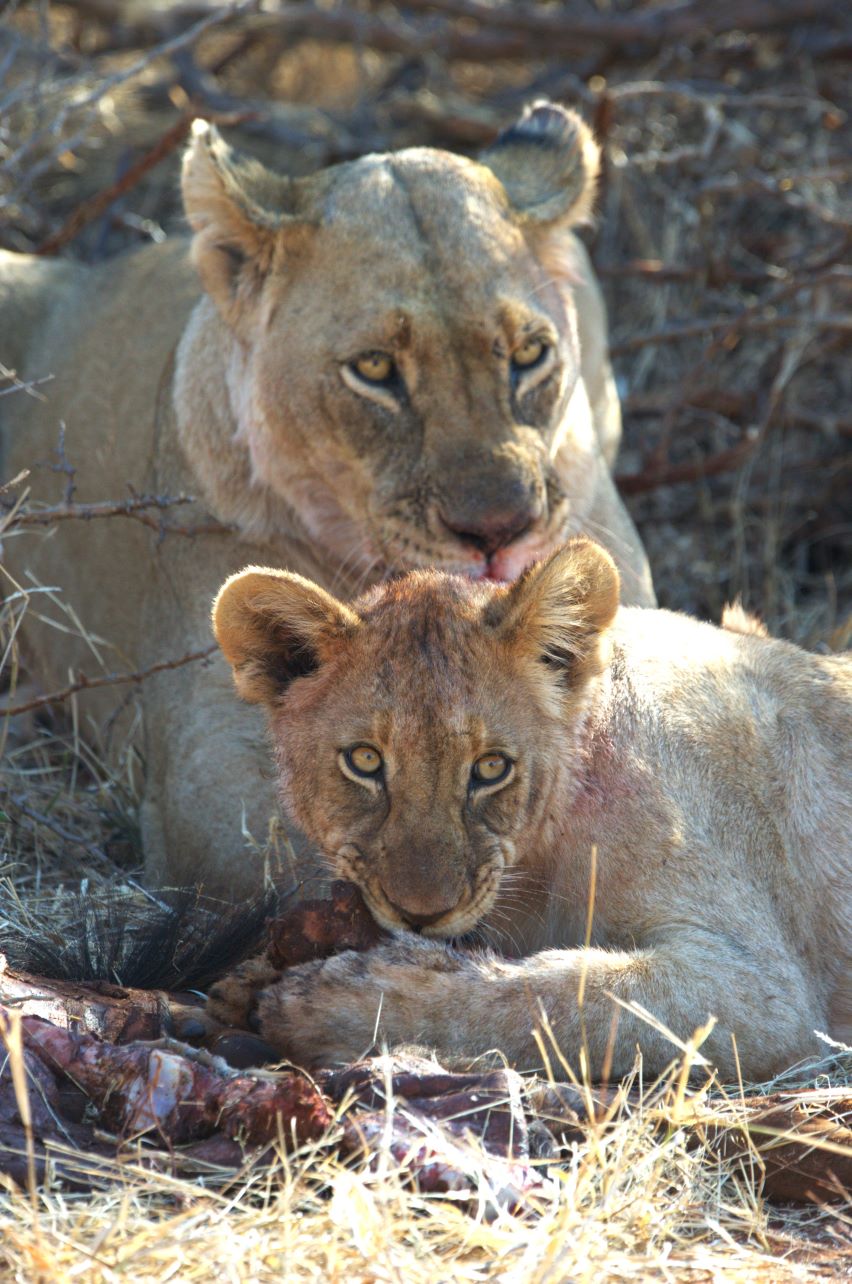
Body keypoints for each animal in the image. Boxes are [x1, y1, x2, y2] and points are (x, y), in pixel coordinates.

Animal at [207, 540, 852, 1081]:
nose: (420, 915)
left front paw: (336, 1004)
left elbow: (564, 996)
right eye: (365, 760)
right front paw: (244, 983)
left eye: (491, 767)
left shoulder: (765, 990)